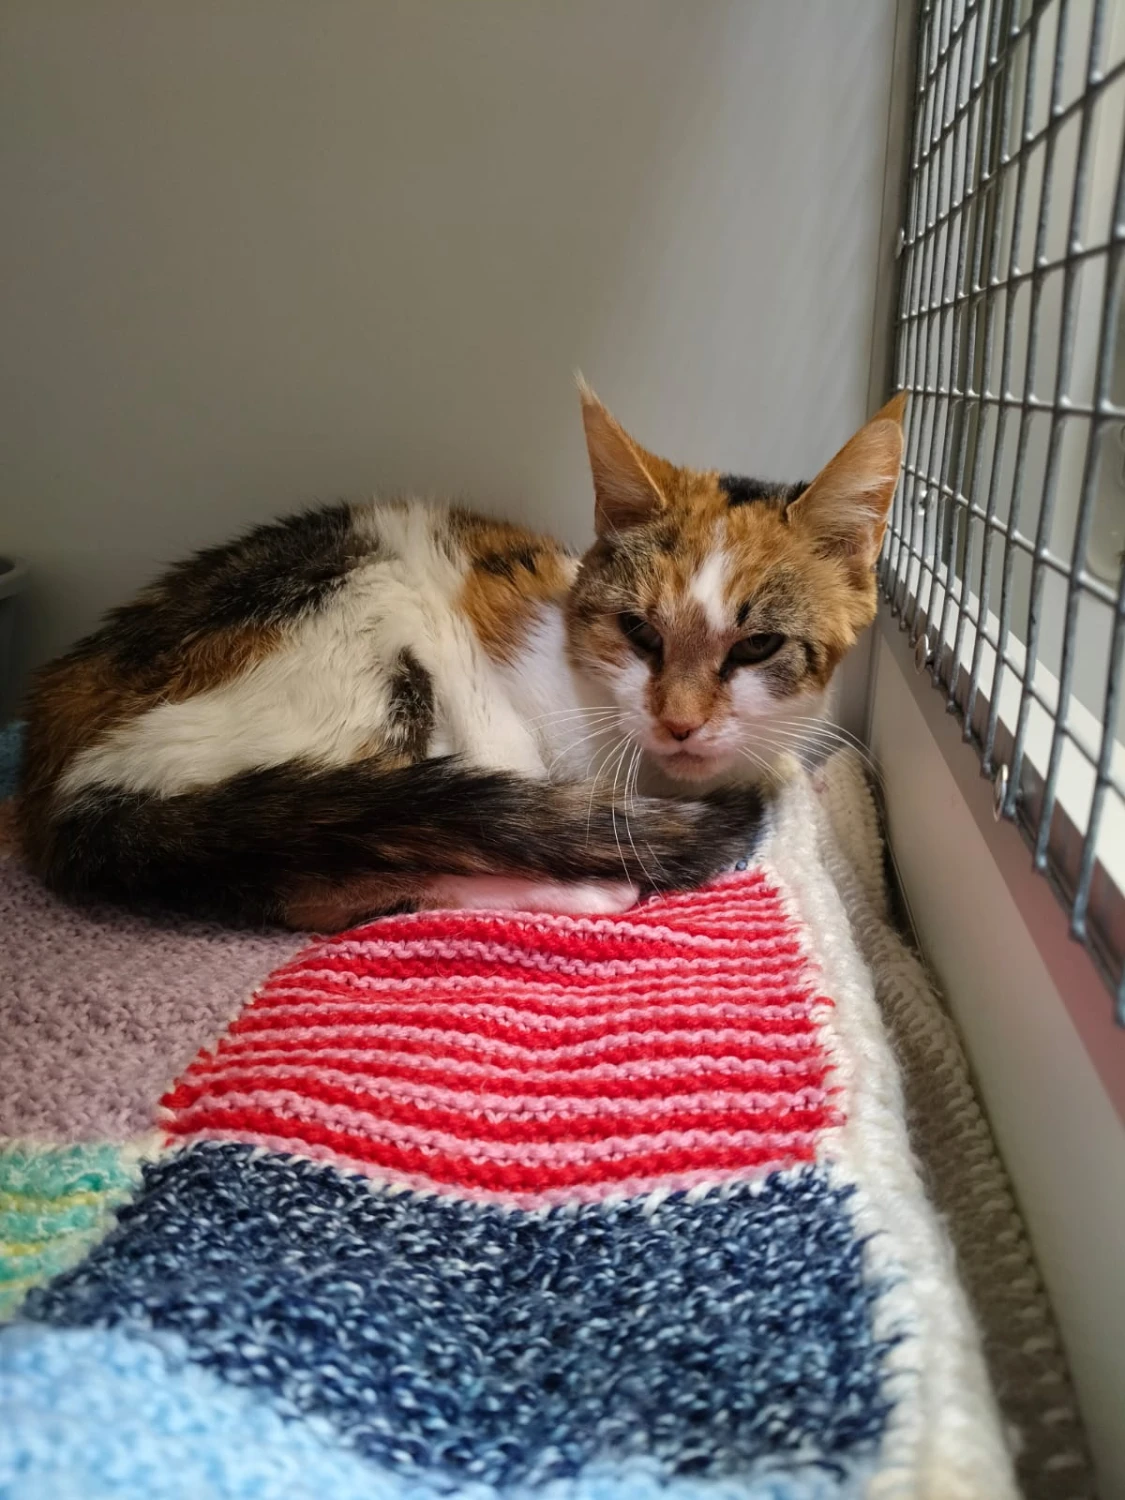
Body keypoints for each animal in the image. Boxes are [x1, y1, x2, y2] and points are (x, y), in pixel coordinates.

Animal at [17, 384, 905, 931]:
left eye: (757, 645)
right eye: (638, 632)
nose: (680, 723)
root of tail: (60, 776)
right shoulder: (489, 707)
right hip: (355, 631)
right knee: (354, 859)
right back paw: (583, 883)